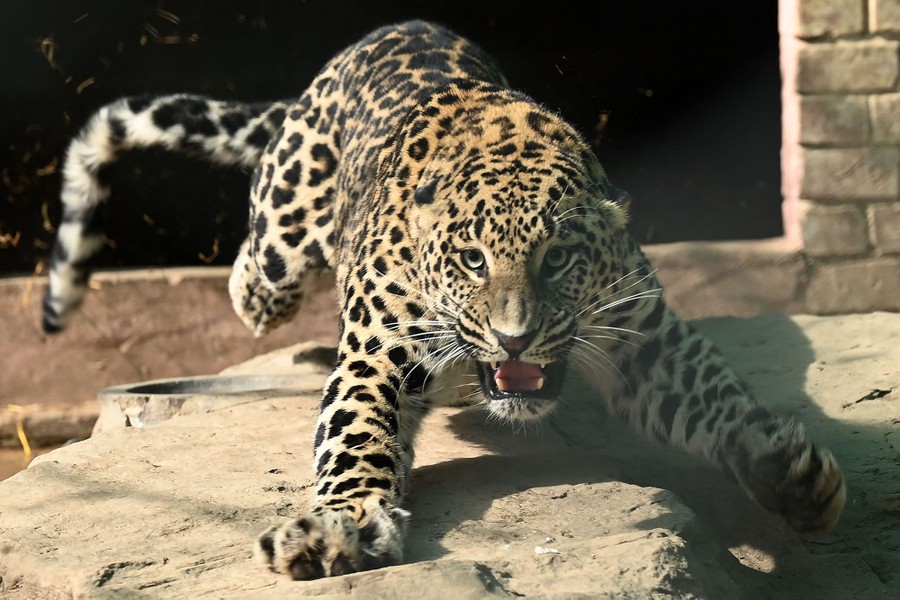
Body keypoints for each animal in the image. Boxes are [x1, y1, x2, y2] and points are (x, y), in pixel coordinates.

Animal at [42, 20, 845, 580]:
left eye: (558, 260)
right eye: (472, 259)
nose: (516, 339)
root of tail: (380, 33)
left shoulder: (643, 336)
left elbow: (715, 397)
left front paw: (787, 475)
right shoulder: (377, 355)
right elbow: (356, 439)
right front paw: (339, 528)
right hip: (282, 236)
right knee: (254, 274)